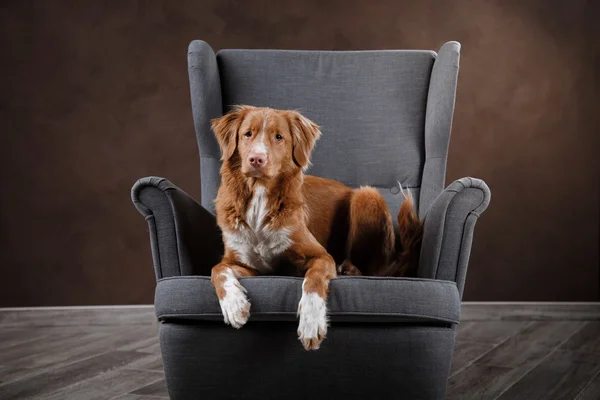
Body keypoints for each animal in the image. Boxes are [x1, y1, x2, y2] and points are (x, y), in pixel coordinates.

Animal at [211, 105, 422, 350]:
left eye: (278, 137)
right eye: (248, 134)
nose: (257, 159)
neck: (259, 198)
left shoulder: (321, 256)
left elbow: (313, 279)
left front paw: (311, 324)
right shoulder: (249, 266)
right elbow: (217, 269)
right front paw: (234, 305)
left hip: (366, 194)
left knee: (372, 270)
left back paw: (349, 268)